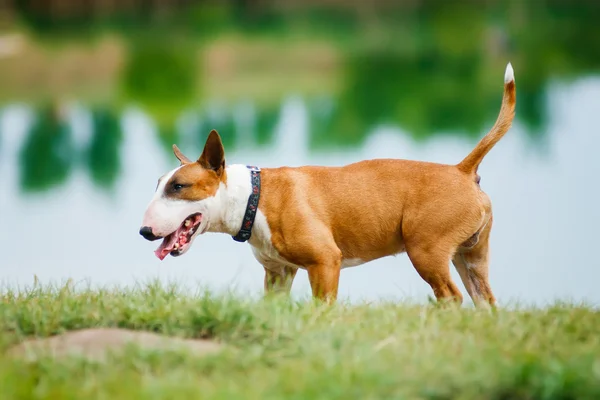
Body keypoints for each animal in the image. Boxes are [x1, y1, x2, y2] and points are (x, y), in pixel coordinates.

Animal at [139, 63, 516, 306]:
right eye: (158, 184)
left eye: (179, 187)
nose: (144, 231)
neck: (254, 198)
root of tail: (461, 170)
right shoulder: (278, 273)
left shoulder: (325, 263)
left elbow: (322, 309)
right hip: (471, 257)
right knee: (484, 300)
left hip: (426, 251)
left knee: (450, 297)